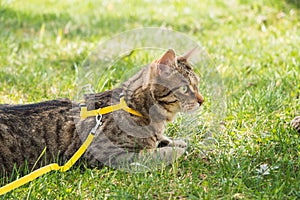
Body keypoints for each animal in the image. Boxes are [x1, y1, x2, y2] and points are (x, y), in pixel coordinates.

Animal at [0, 48, 204, 177]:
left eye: (198, 85)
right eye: (185, 88)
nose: (202, 101)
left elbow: (166, 141)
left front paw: (177, 142)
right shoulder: (110, 155)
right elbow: (155, 155)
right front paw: (175, 150)